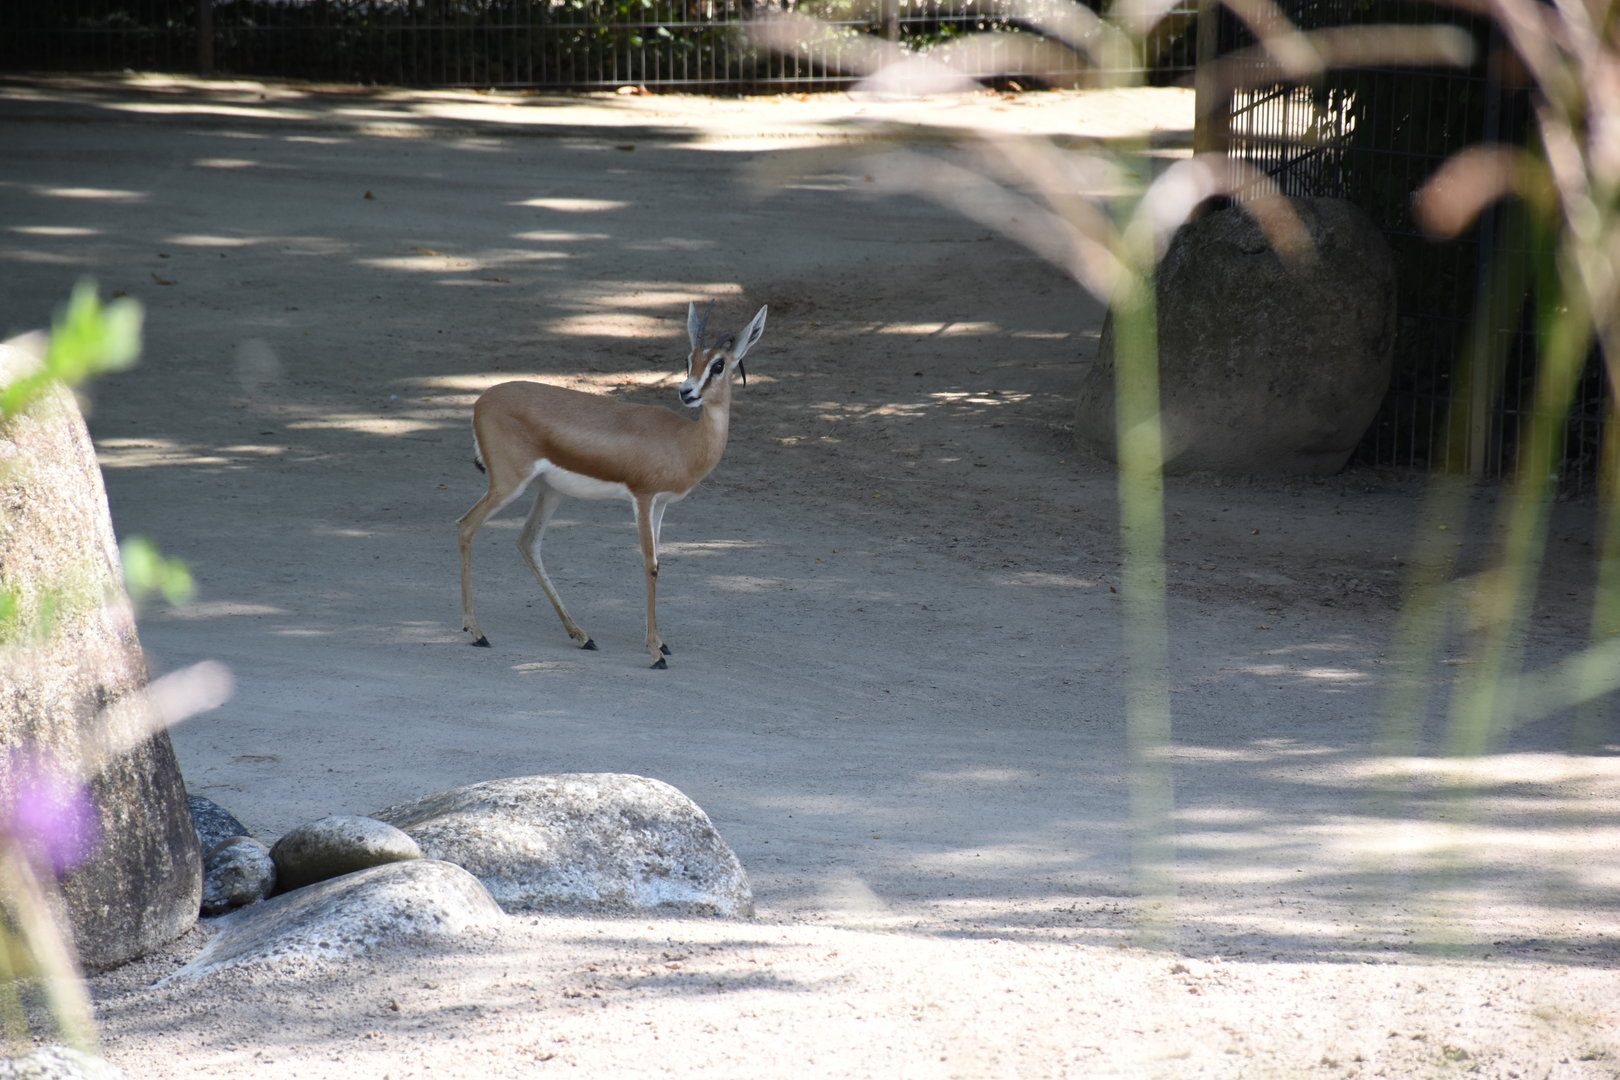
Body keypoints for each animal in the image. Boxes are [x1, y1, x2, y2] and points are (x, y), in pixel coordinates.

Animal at [457, 302, 768, 669]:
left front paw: (661, 643)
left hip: (550, 491)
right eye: (688, 359)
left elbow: (659, 561)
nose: (686, 392)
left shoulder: (661, 504)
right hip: (508, 484)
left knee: (527, 542)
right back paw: (477, 632)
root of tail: (481, 401)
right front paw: (655, 653)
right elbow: (650, 564)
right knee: (466, 526)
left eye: (718, 364)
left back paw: (582, 636)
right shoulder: (643, 498)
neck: (684, 442)